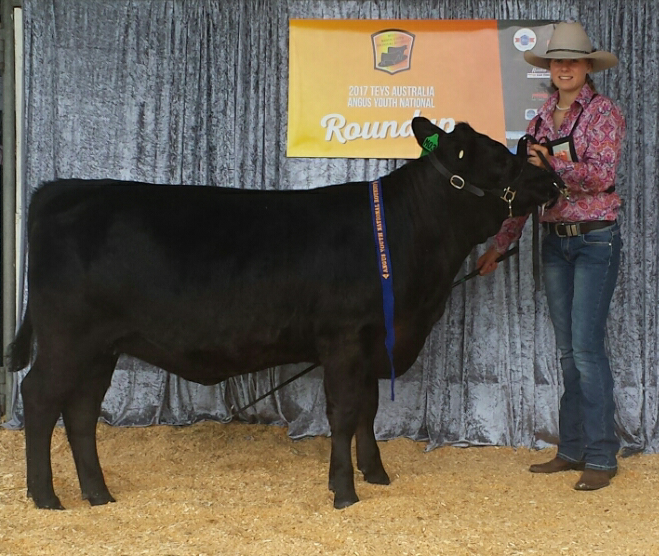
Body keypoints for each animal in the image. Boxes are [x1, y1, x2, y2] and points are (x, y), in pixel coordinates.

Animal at [8, 117, 560, 510]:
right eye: (497, 157)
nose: (551, 180)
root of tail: (60, 189)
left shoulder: (370, 344)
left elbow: (367, 409)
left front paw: (376, 473)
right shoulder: (345, 338)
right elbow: (344, 413)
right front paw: (344, 491)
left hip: (101, 347)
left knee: (80, 410)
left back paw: (98, 494)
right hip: (67, 338)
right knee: (39, 397)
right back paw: (46, 496)